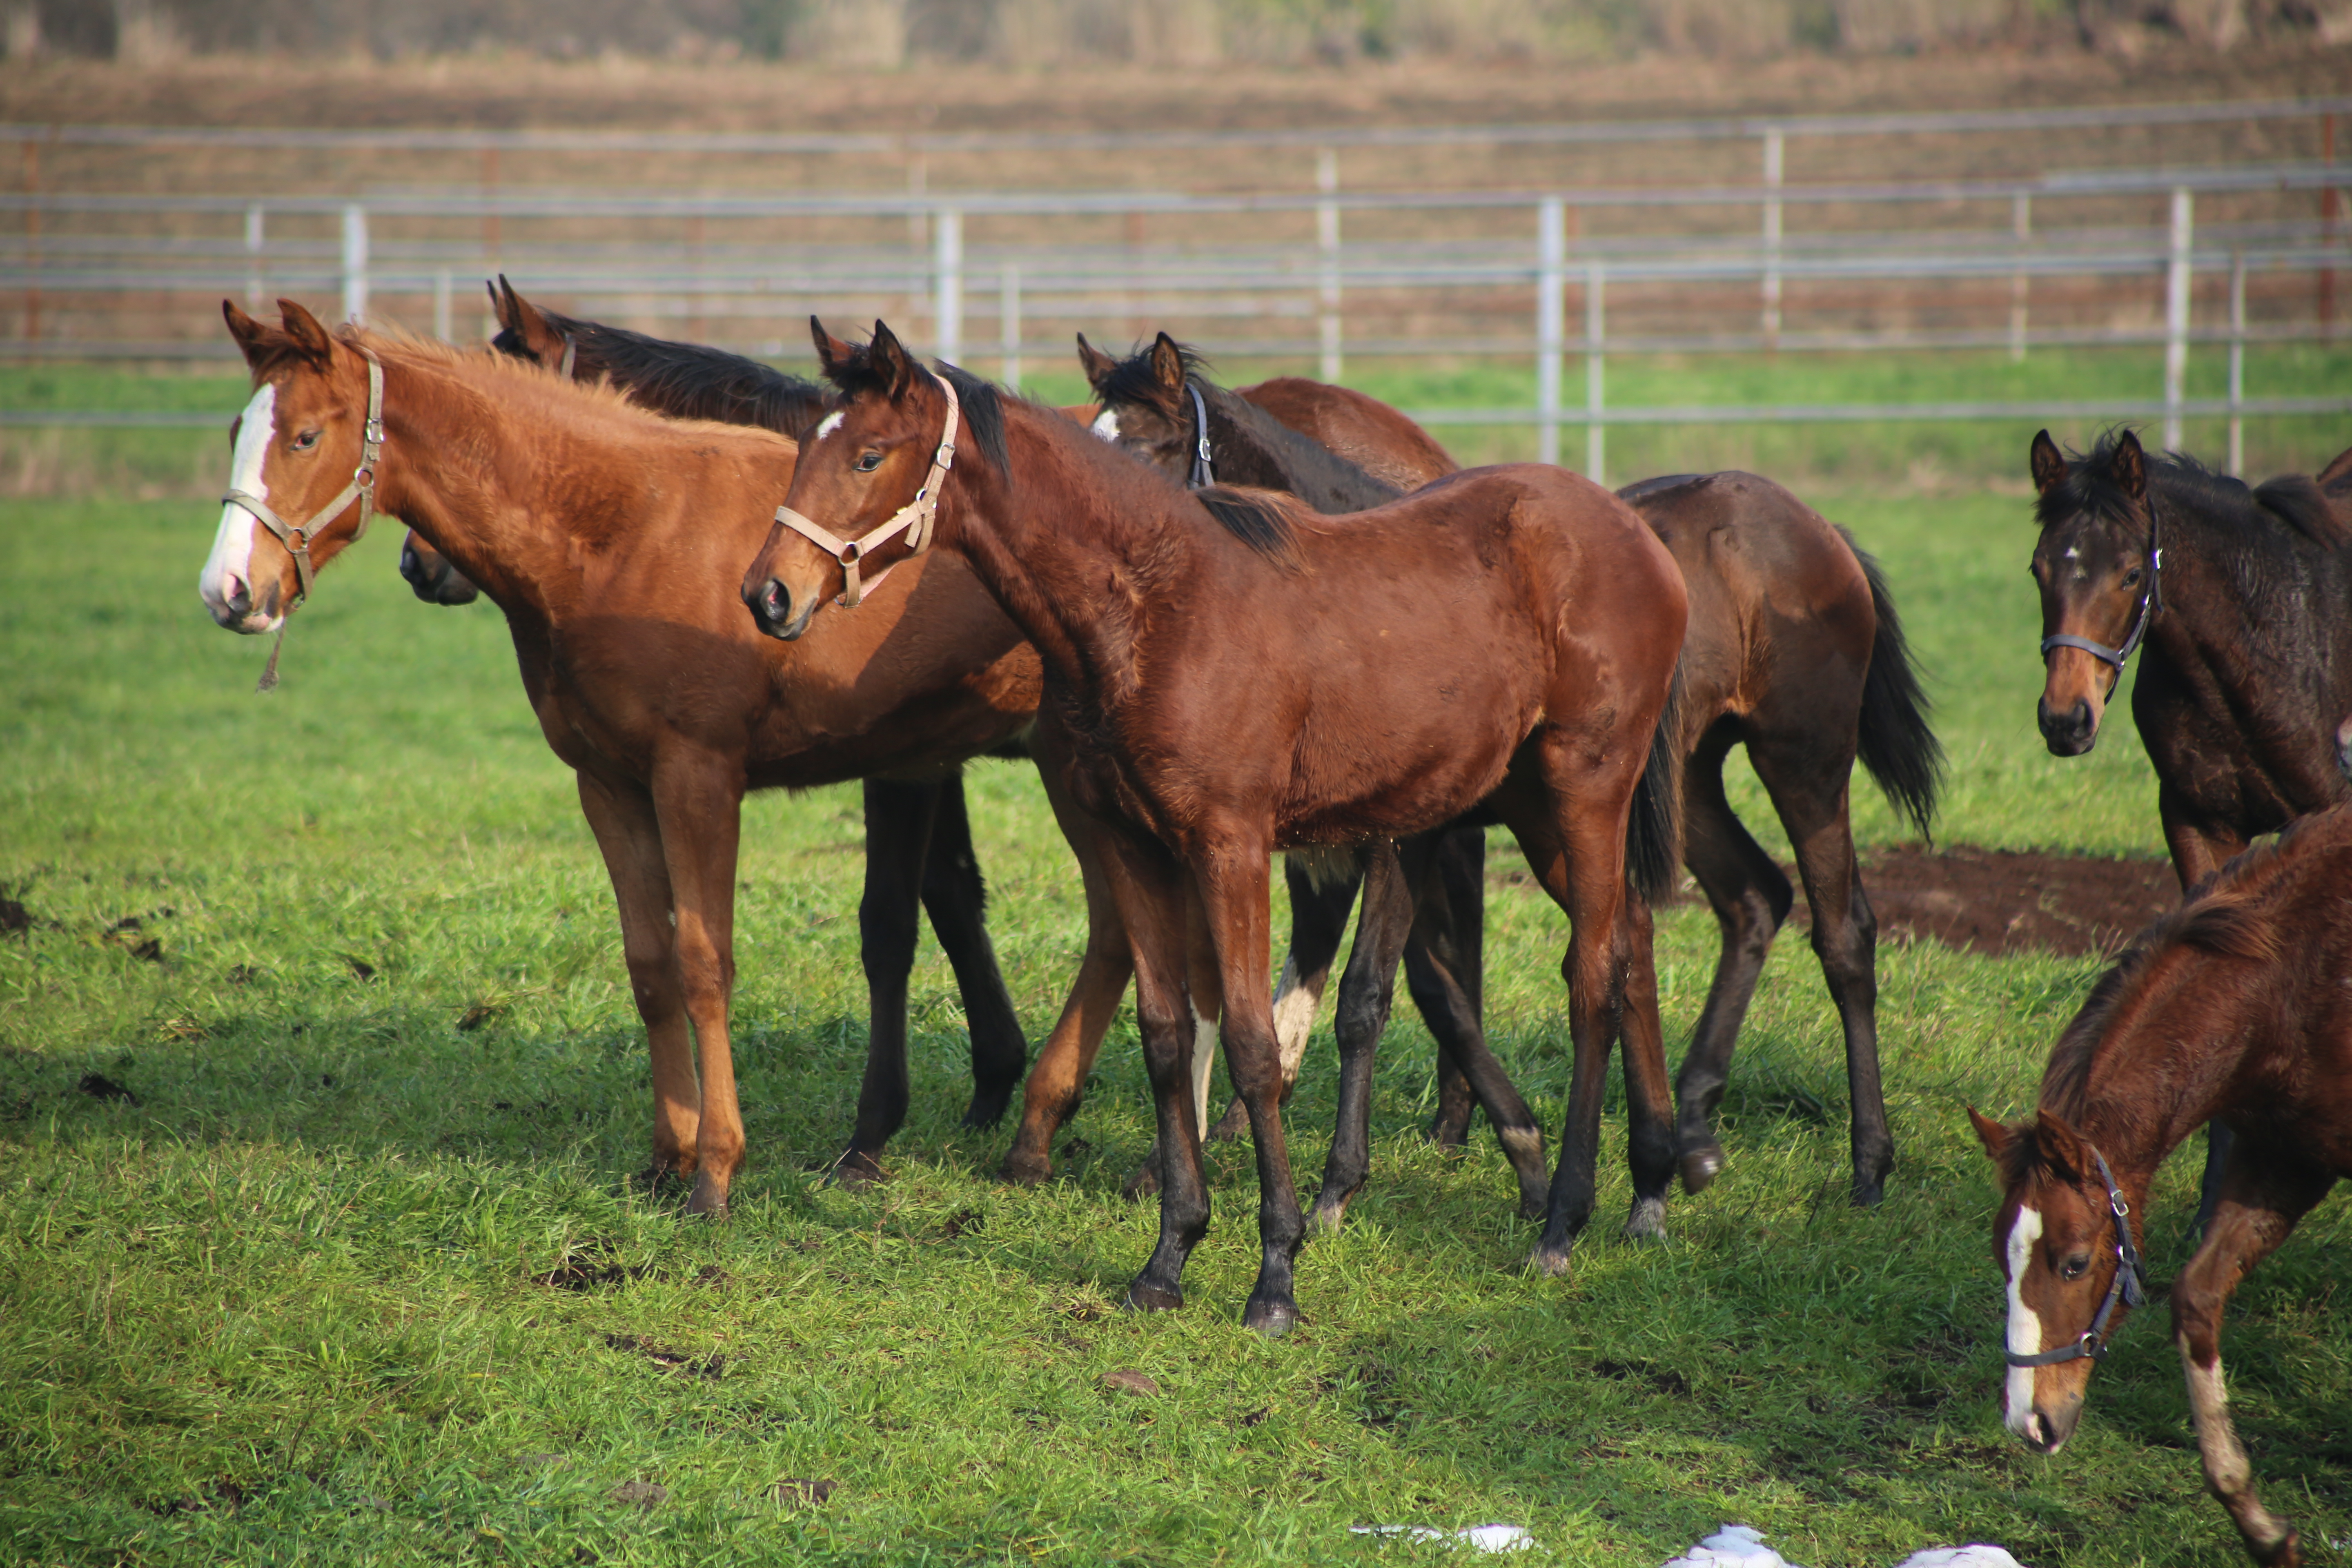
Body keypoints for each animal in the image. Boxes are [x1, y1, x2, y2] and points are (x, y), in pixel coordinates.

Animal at [195, 303, 1049, 1213]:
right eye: (237, 432)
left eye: (306, 438)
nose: (229, 591)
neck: (632, 530)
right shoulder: (608, 783)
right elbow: (651, 965)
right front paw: (668, 1157)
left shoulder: (702, 777)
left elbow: (708, 963)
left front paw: (717, 1171)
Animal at [743, 322, 1684, 1335]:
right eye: (806, 451)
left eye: (869, 455)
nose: (769, 595)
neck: (1159, 612)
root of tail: (1636, 533)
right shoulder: (1137, 847)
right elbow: (1166, 1034)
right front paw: (1169, 1256)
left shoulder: (1232, 847)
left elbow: (1251, 1043)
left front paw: (1276, 1275)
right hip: (1531, 807)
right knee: (1629, 942)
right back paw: (1649, 1189)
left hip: (1586, 789)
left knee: (1593, 978)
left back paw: (1564, 1222)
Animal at [1077, 339, 1929, 1213]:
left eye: (1149, 449)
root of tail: (1820, 528)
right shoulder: (1344, 845)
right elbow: (1404, 987)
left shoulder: (1408, 840)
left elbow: (1396, 988)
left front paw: (1410, 1163)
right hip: (1683, 787)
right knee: (1752, 898)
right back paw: (1691, 1133)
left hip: (1803, 762)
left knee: (1842, 932)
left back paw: (1867, 1163)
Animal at [1966, 808, 2352, 1568]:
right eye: (2003, 1261)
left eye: (2074, 1263)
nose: (2029, 1421)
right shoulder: (2285, 1160)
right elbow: (2197, 1297)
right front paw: (2259, 1524)